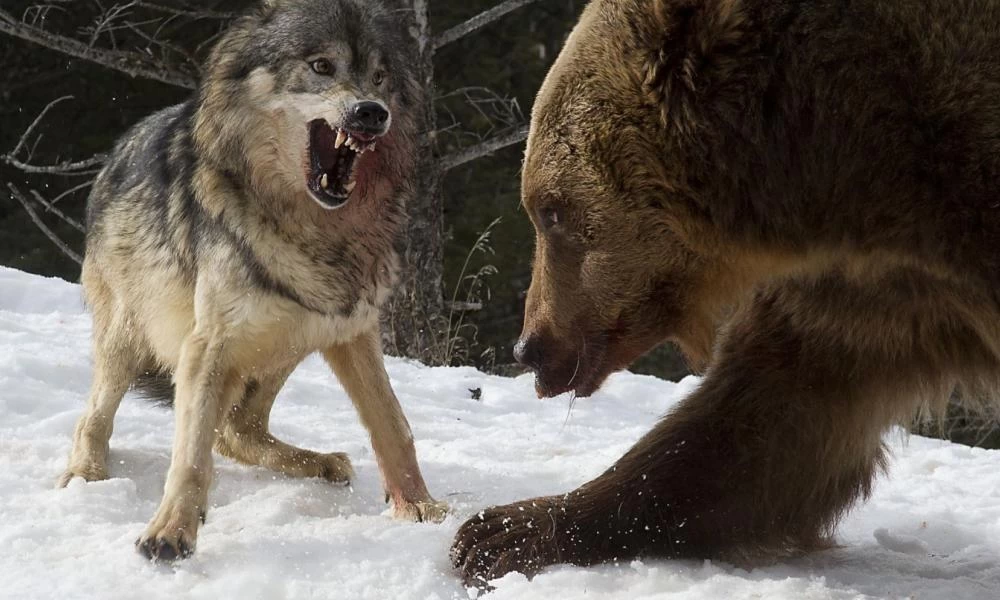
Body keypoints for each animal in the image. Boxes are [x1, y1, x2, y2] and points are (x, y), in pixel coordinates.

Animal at [56, 0, 444, 564]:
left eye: (380, 78)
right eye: (321, 66)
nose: (372, 112)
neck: (314, 231)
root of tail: (115, 153)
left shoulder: (352, 331)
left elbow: (394, 424)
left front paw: (421, 507)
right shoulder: (207, 345)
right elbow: (190, 456)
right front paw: (170, 532)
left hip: (292, 337)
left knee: (237, 430)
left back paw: (321, 462)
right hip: (133, 339)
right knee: (97, 418)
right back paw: (84, 475)